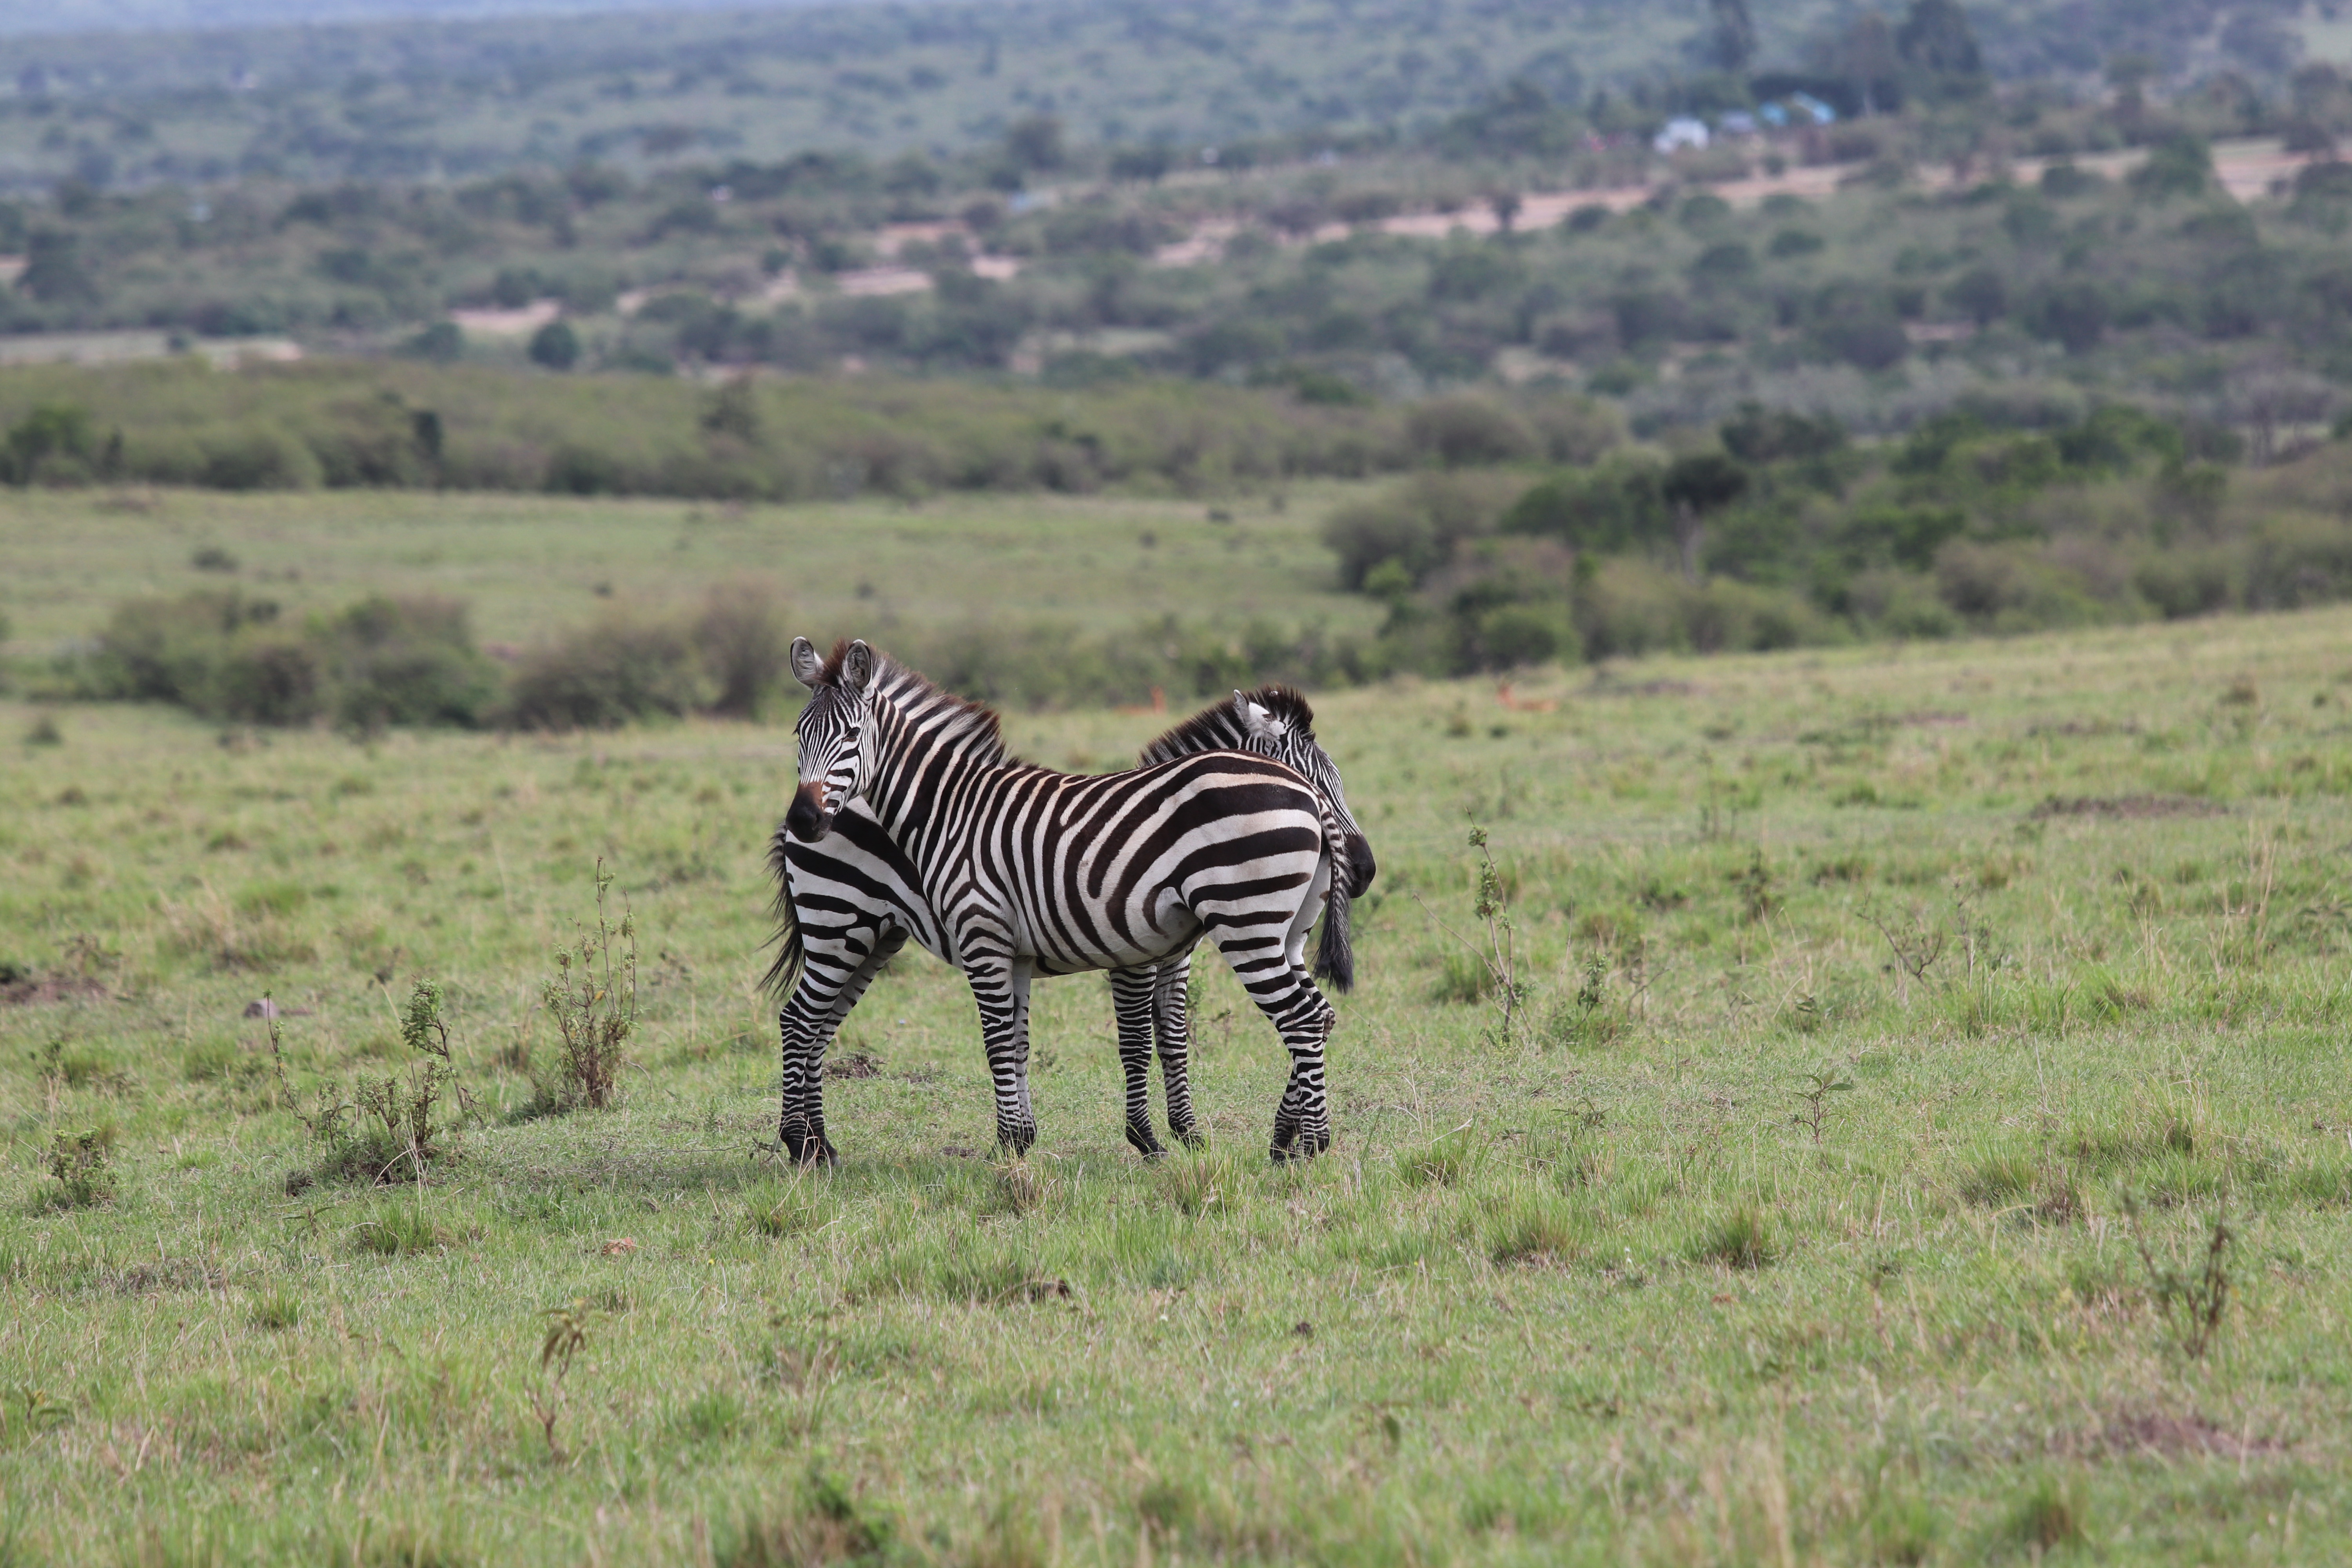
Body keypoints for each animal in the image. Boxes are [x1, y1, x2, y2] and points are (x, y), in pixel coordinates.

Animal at [775, 636, 1358, 1162]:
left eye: (852, 734)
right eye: (798, 734)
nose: (806, 820)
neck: (950, 809)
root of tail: (1304, 800)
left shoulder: (998, 936)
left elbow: (1024, 1040)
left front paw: (1021, 1143)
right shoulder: (1017, 946)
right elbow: (1022, 1040)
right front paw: (1026, 1140)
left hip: (1252, 925)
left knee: (1307, 1018)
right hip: (847, 926)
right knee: (805, 1021)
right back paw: (811, 1145)